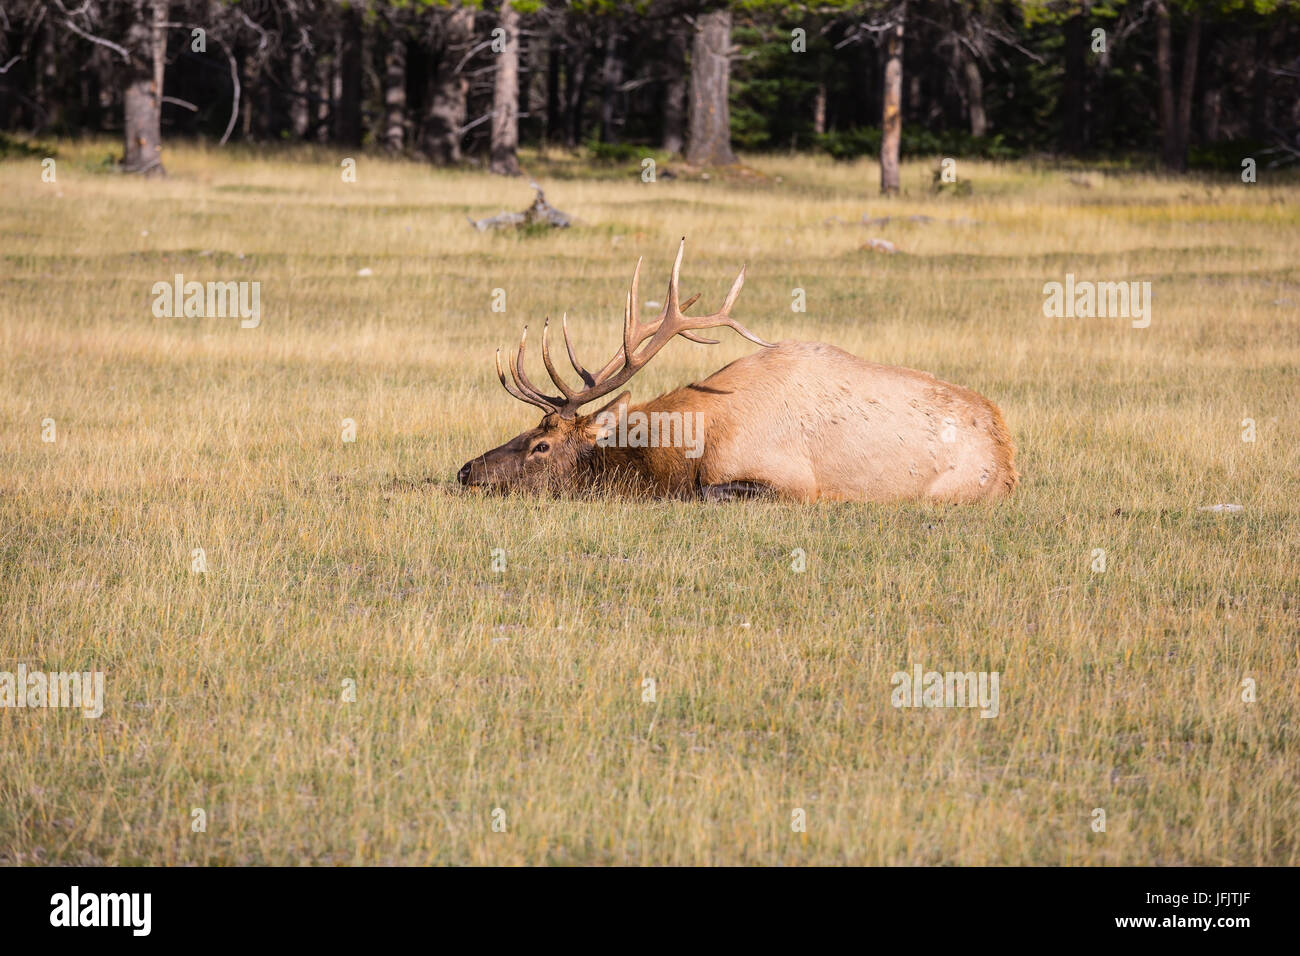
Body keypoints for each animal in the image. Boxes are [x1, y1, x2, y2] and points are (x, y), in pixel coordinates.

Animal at [457, 239, 1013, 504]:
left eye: (541, 446)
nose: (465, 471)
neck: (692, 441)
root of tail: (1006, 447)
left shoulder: (791, 482)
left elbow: (704, 492)